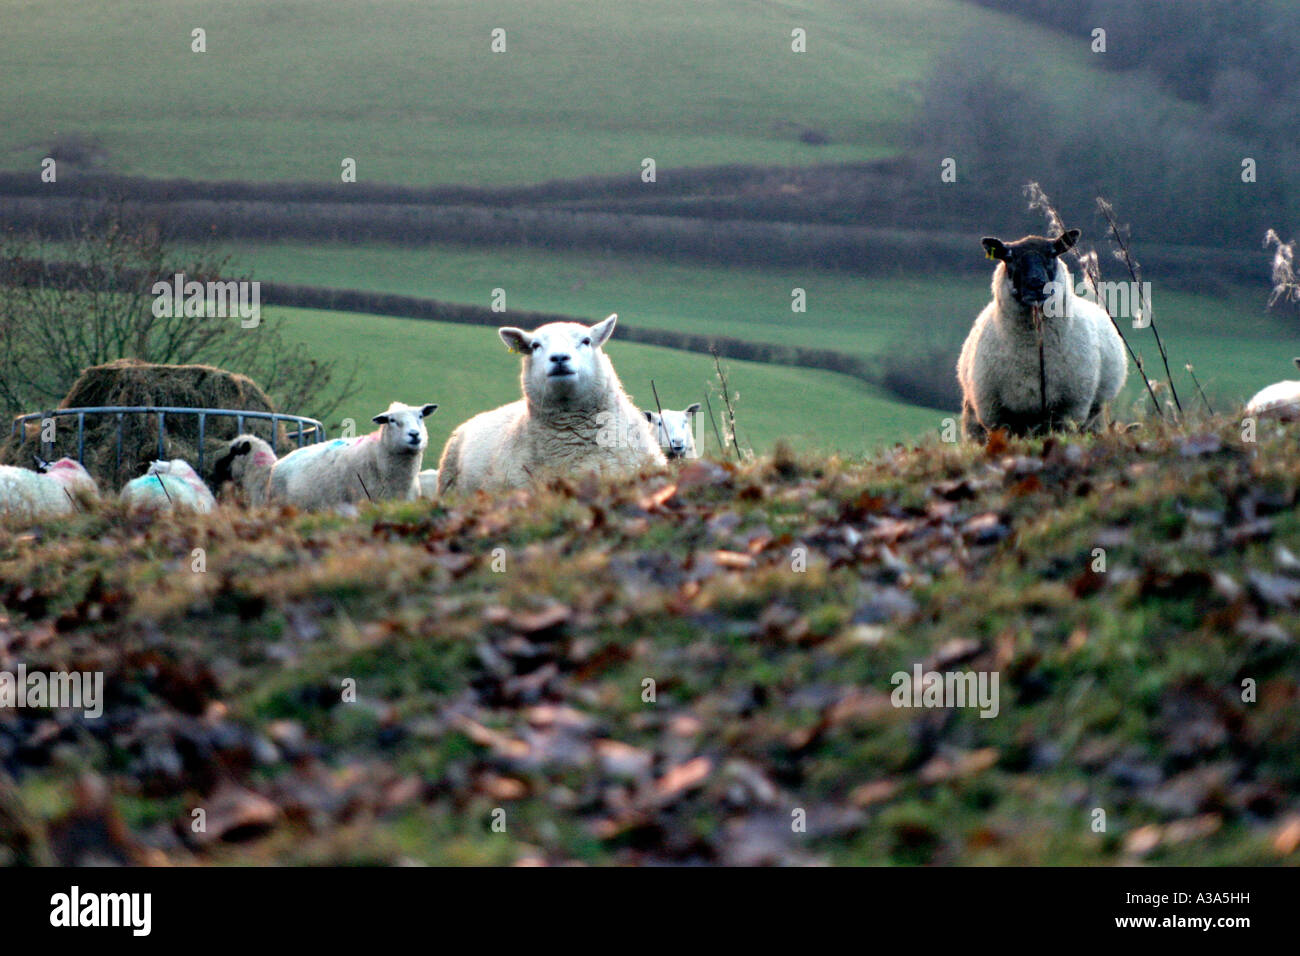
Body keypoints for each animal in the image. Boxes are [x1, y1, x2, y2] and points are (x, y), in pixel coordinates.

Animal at [956, 230, 1128, 442]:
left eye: (1052, 253)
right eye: (1009, 257)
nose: (1036, 284)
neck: (1033, 351)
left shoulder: (1070, 409)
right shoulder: (996, 413)